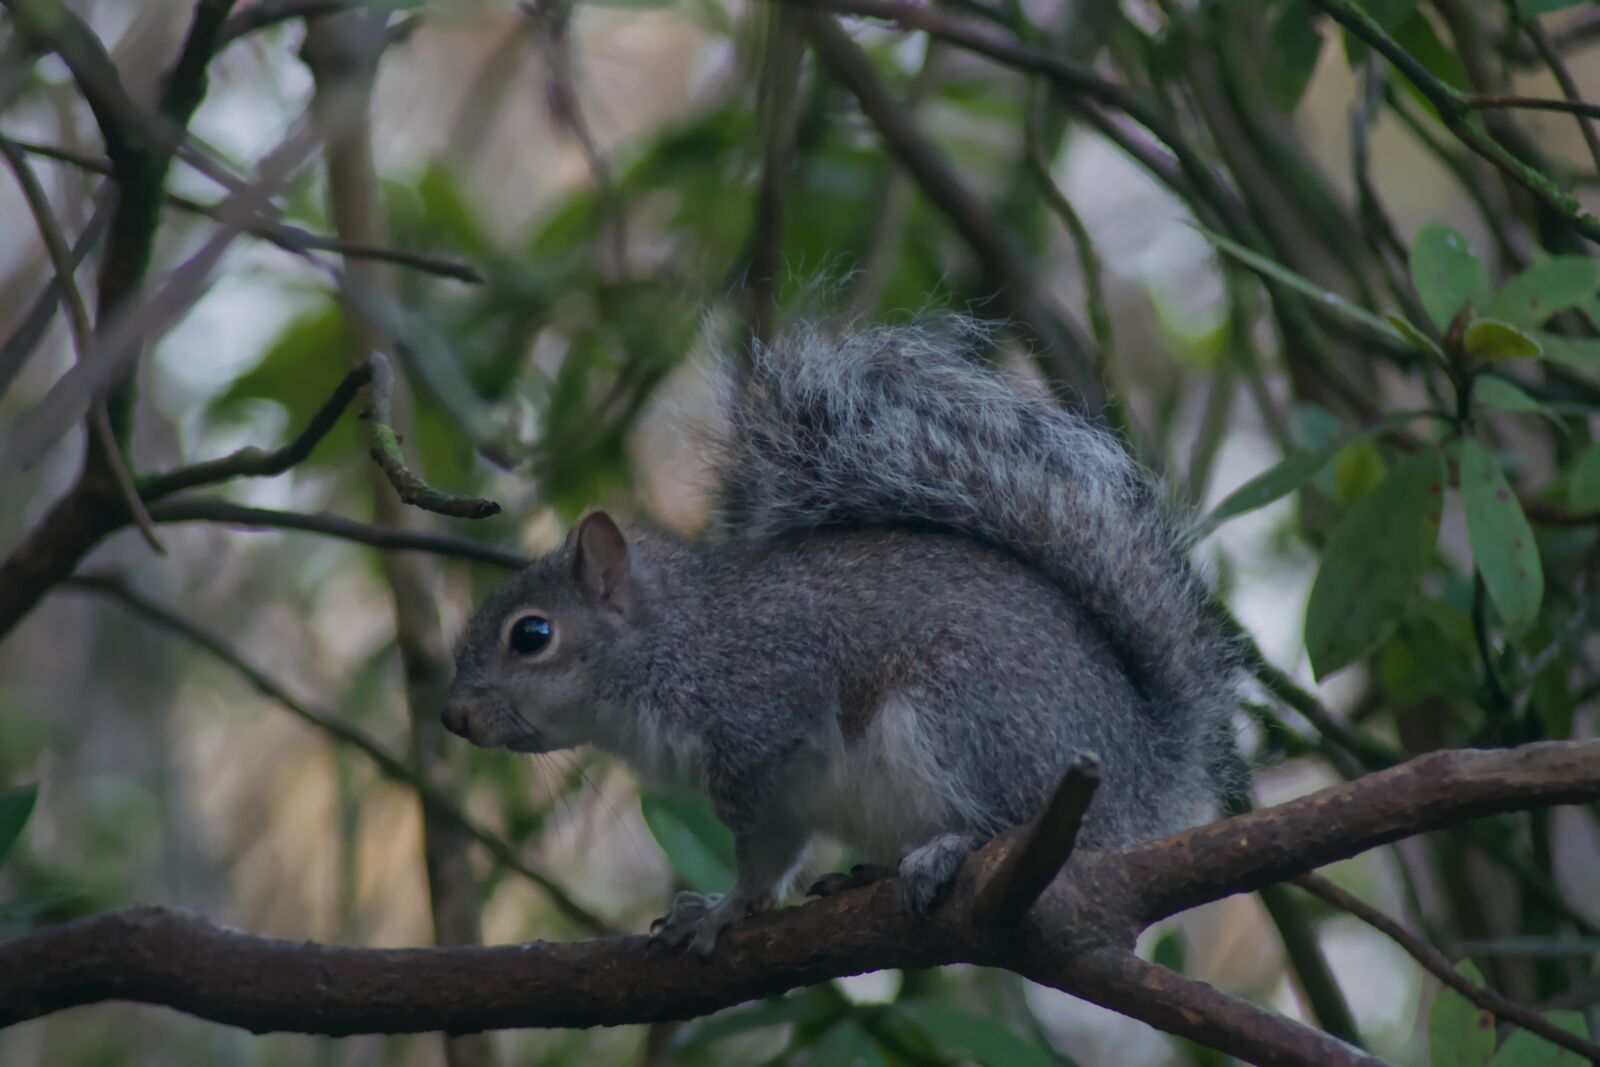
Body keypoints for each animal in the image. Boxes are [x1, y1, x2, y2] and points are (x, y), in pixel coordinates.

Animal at [443, 319, 1242, 954]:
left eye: (531, 634)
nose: (453, 717)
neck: (676, 642)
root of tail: (1145, 777)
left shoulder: (766, 726)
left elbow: (763, 855)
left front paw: (724, 908)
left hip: (968, 720)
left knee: (1007, 824)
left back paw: (945, 851)